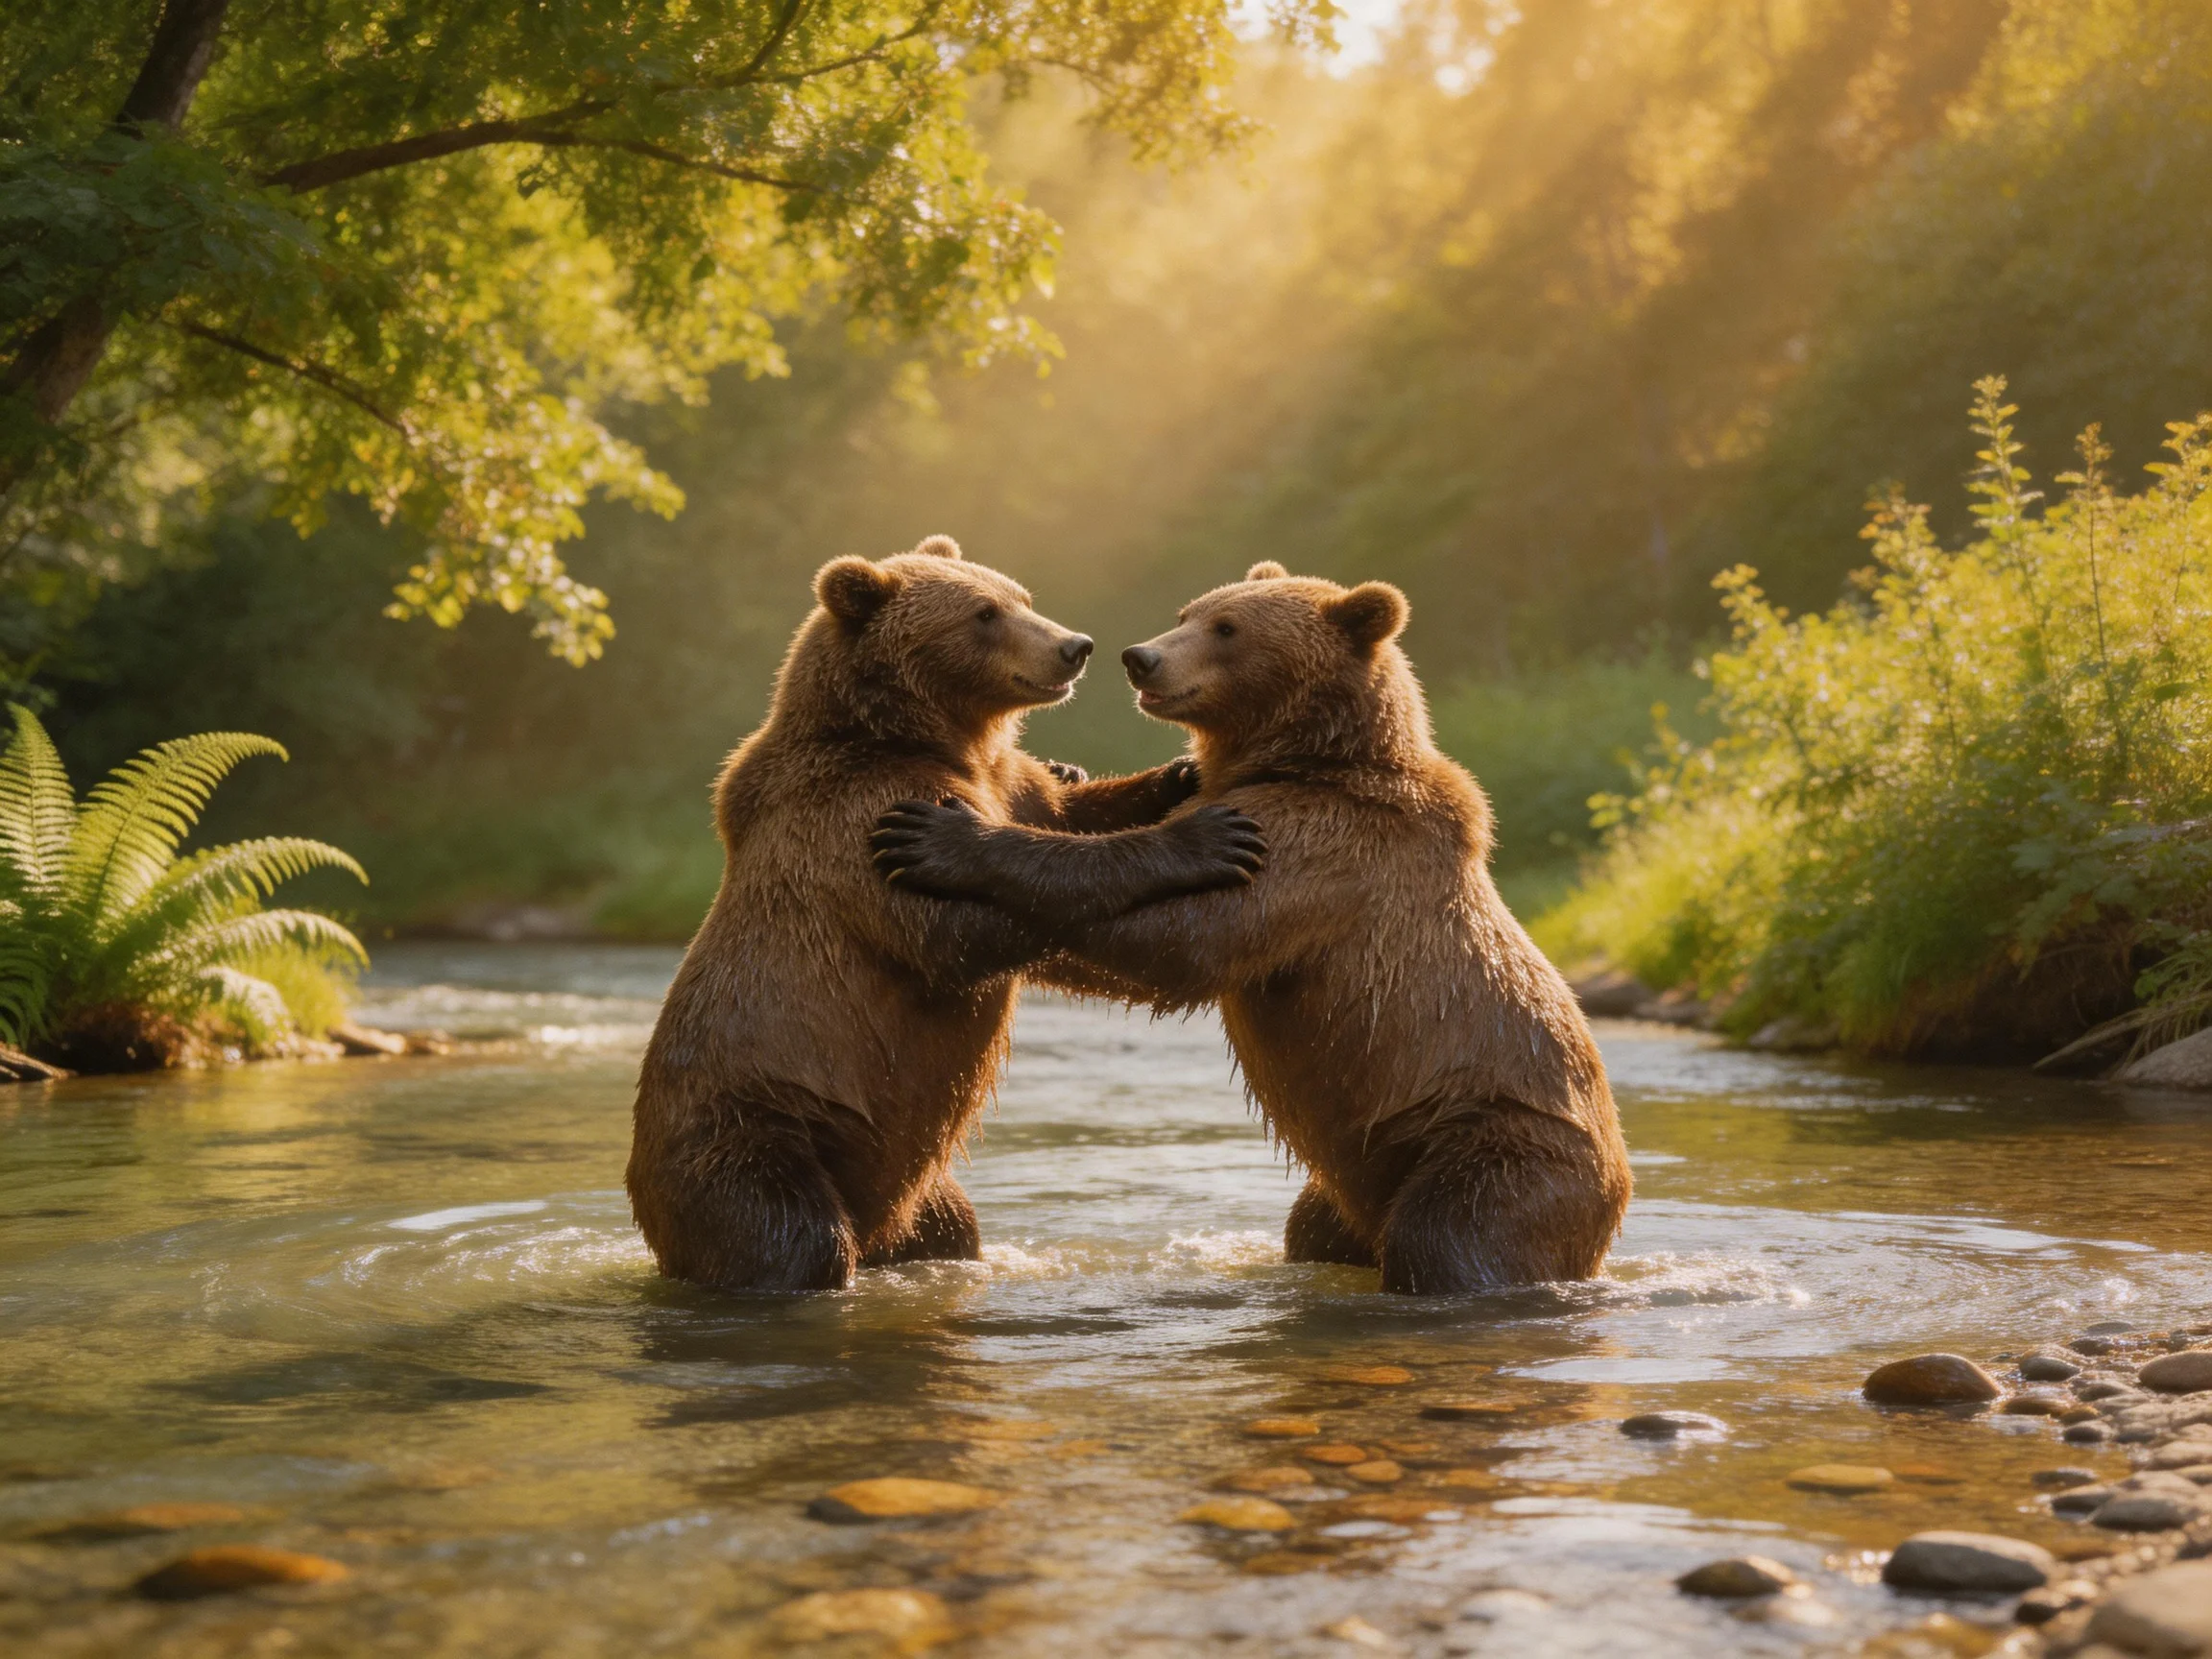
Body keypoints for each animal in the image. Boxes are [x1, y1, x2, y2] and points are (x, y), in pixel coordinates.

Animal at [627, 536, 1265, 1293]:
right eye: (984, 614)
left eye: (1020, 596)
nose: (1073, 647)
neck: (923, 734)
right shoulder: (857, 819)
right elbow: (954, 932)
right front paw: (1202, 837)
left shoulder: (1001, 780)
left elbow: (1062, 809)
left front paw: (1176, 776)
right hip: (755, 1129)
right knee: (789, 1233)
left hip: (917, 1187)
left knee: (949, 1224)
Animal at [870, 562, 1632, 1293]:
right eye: (1189, 614)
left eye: (1228, 628)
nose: (1140, 658)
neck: (1308, 758)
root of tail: (1619, 1193)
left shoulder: (1321, 846)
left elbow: (1185, 939)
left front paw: (946, 837)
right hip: (1357, 1178)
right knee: (1317, 1228)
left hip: (1493, 1142)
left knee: (1455, 1235)